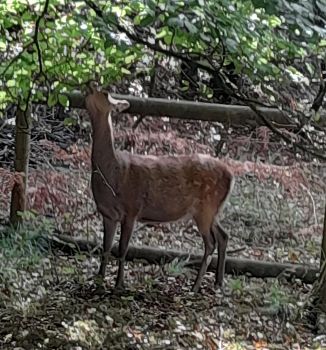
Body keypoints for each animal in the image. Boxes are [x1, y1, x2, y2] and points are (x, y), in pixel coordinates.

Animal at [85, 84, 233, 292]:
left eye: (105, 93)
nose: (90, 83)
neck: (113, 172)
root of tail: (231, 175)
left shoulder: (132, 209)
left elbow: (122, 249)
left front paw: (119, 285)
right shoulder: (107, 213)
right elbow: (105, 247)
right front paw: (98, 281)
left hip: (206, 206)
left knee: (210, 242)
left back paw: (195, 286)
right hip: (211, 210)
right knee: (223, 235)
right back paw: (218, 282)